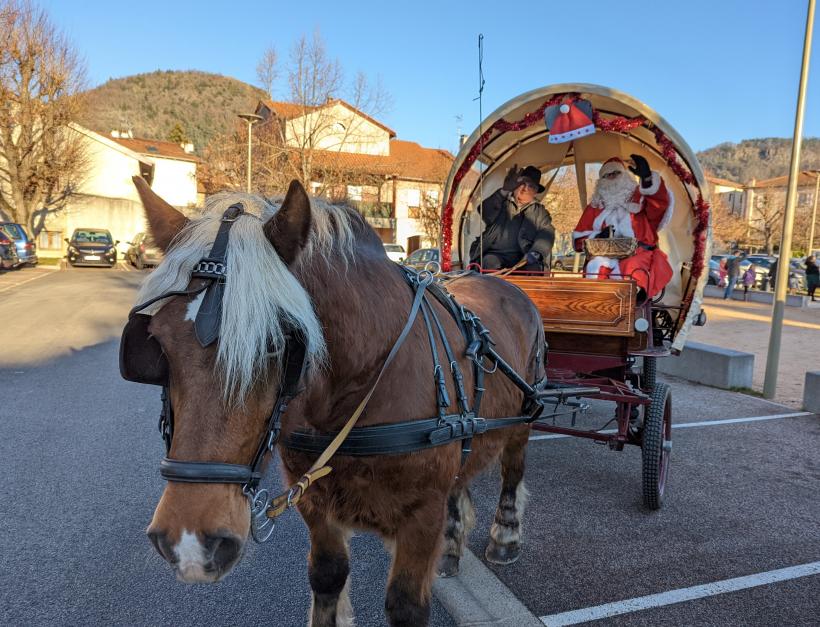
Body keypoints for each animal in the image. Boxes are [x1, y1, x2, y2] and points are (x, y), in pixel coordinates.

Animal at [130, 178, 544, 627]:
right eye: (156, 343)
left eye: (279, 345)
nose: (190, 544)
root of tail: (502, 281)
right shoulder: (314, 501)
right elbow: (327, 575)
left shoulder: (422, 514)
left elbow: (407, 605)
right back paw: (451, 546)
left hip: (523, 418)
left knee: (512, 470)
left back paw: (505, 534)